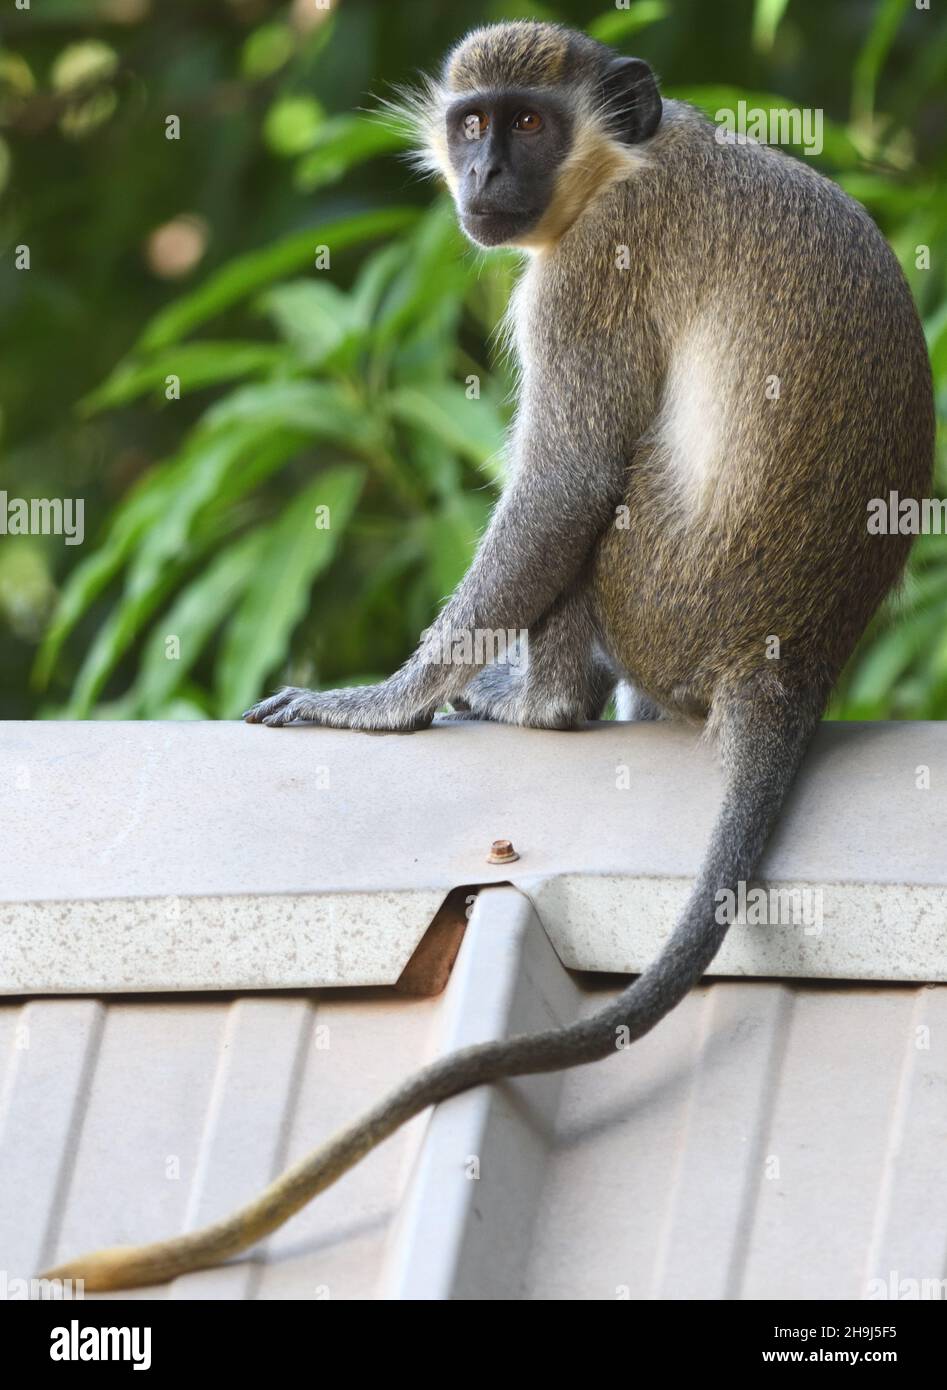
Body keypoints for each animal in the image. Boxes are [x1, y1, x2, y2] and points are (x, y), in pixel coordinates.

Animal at [45, 20, 934, 1292]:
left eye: (524, 122)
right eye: (470, 123)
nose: (483, 174)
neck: (623, 164)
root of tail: (791, 662)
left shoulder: (591, 273)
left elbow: (562, 483)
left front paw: (384, 701)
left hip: (658, 598)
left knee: (595, 497)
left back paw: (544, 702)